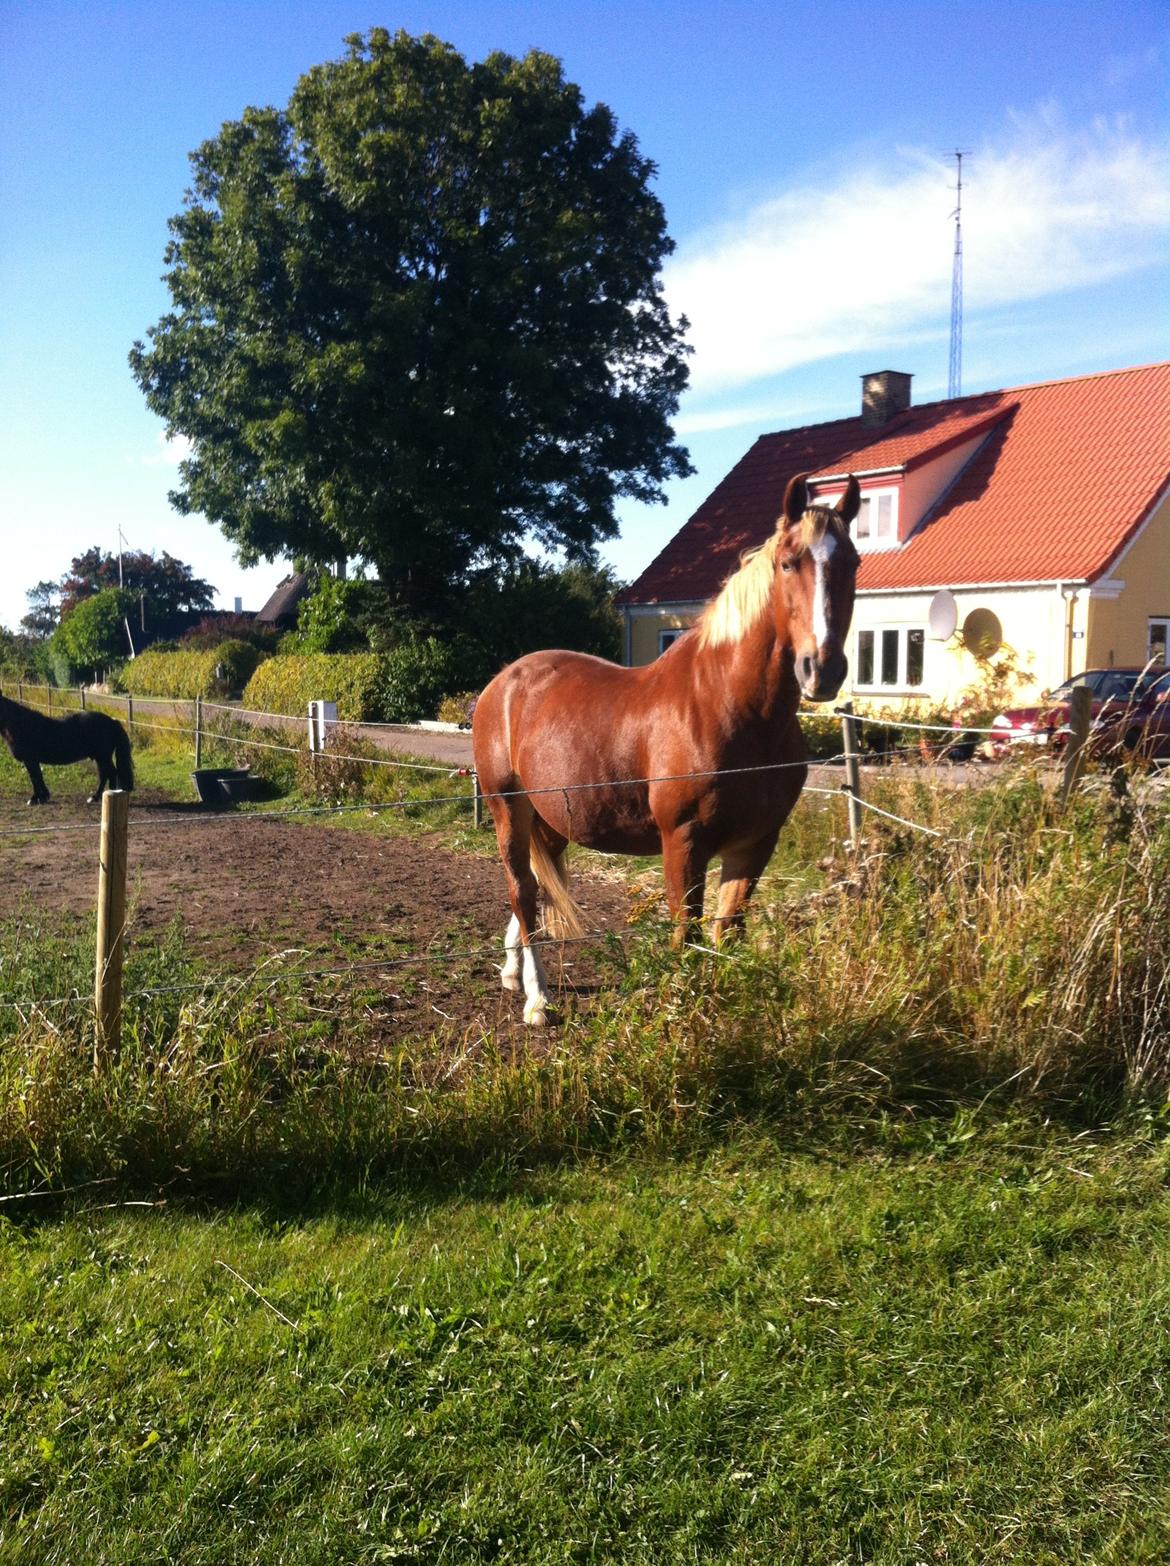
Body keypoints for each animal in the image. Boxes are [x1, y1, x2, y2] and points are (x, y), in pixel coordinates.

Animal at [0, 689, 134, 801]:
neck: (23, 725)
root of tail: (112, 721)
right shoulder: (32, 761)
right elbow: (38, 777)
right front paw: (43, 797)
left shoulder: (30, 760)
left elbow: (34, 778)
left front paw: (35, 799)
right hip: (100, 758)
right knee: (105, 774)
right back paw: (98, 797)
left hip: (102, 757)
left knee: (110, 773)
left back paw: (102, 795)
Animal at [469, 469, 864, 1021]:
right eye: (789, 562)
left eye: (853, 563)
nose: (822, 669)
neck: (731, 707)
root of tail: (501, 683)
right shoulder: (683, 842)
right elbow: (687, 935)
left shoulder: (755, 844)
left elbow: (727, 932)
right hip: (508, 807)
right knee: (522, 892)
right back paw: (537, 998)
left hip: (551, 818)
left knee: (534, 885)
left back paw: (512, 973)